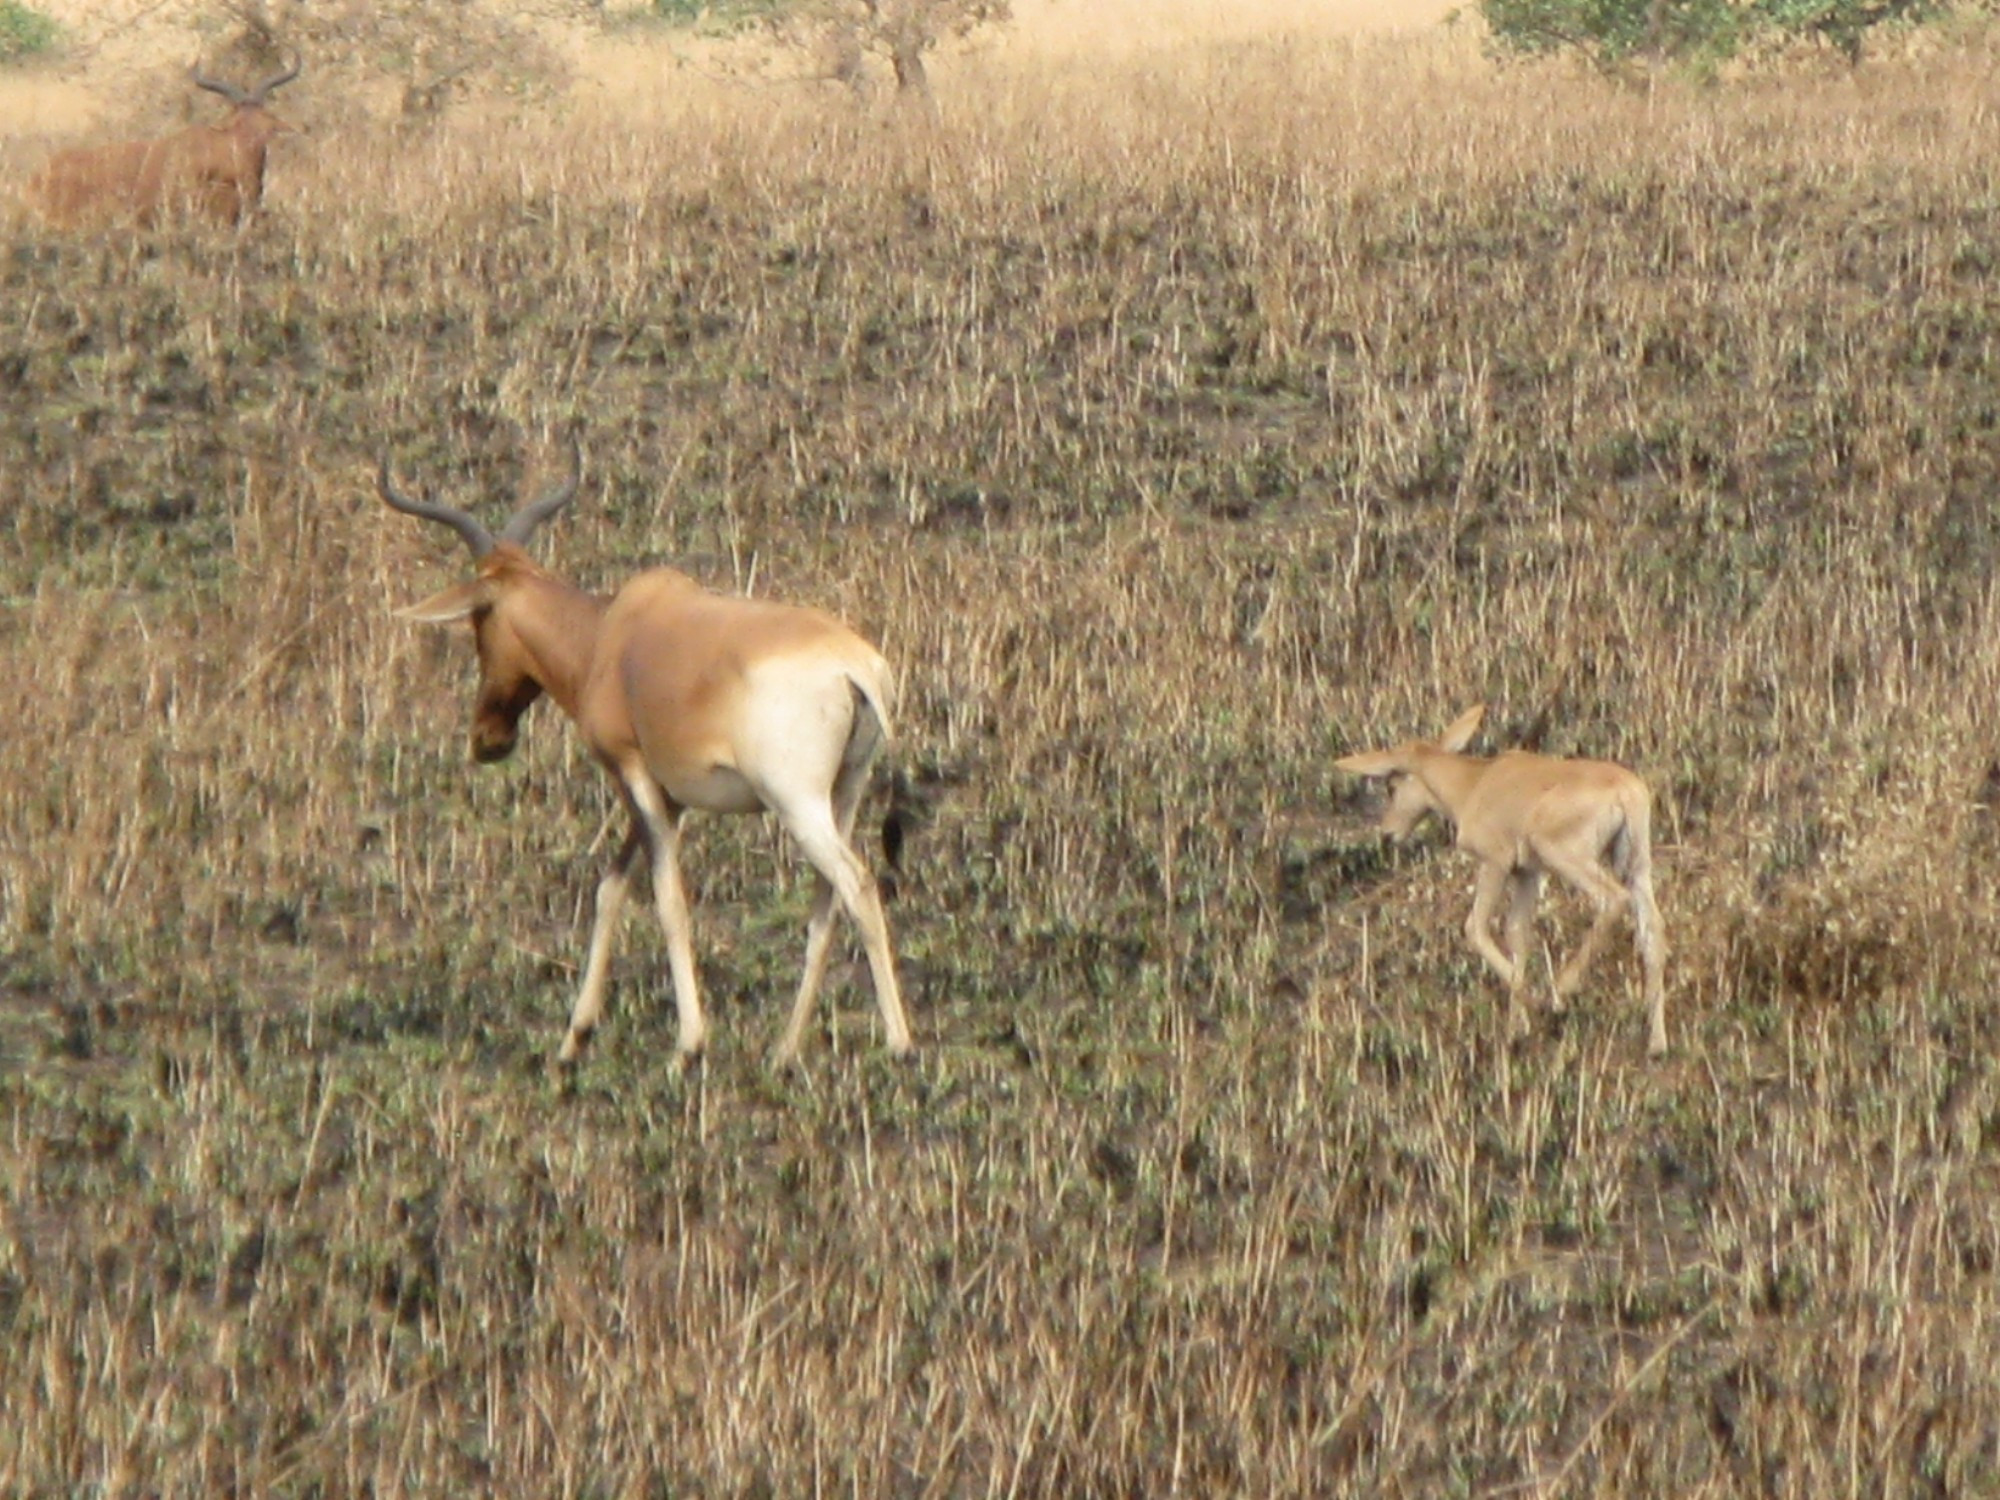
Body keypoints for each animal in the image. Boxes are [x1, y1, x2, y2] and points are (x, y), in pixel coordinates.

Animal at [380, 446, 916, 1072]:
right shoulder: (667, 794)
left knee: (857, 885)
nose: (487, 738)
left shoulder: (632, 772)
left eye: (478, 620)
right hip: (844, 791)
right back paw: (784, 1050)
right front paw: (574, 1039)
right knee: (827, 902)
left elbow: (666, 898)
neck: (611, 635)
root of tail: (855, 668)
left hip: (796, 801)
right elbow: (610, 889)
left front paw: (688, 1046)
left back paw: (899, 1043)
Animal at [1344, 708, 1672, 1048]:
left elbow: (1474, 927)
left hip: (1566, 856)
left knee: (1612, 899)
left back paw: (1559, 992)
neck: (1476, 783)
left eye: (1391, 786)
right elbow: (1517, 932)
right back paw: (1657, 1043)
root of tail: (1624, 790)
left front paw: (1531, 1001)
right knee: (1652, 930)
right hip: (1636, 865)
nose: (1387, 833)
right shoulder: (1526, 872)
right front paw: (1518, 1028)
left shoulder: (1495, 862)